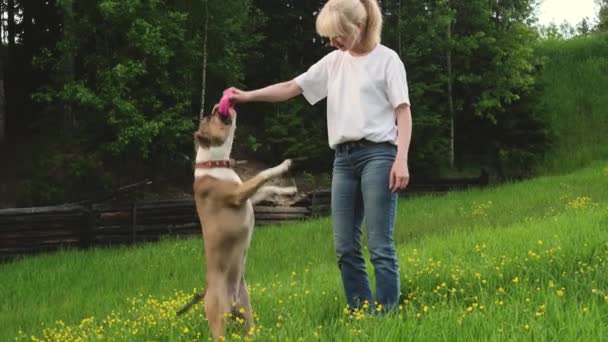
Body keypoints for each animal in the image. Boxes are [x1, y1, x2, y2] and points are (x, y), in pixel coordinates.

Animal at [179, 105, 296, 342]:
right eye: (210, 117)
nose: (217, 106)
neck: (213, 162)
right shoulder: (237, 194)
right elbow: (263, 174)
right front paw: (283, 166)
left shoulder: (248, 197)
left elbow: (268, 188)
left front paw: (288, 191)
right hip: (218, 321)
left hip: (246, 312)